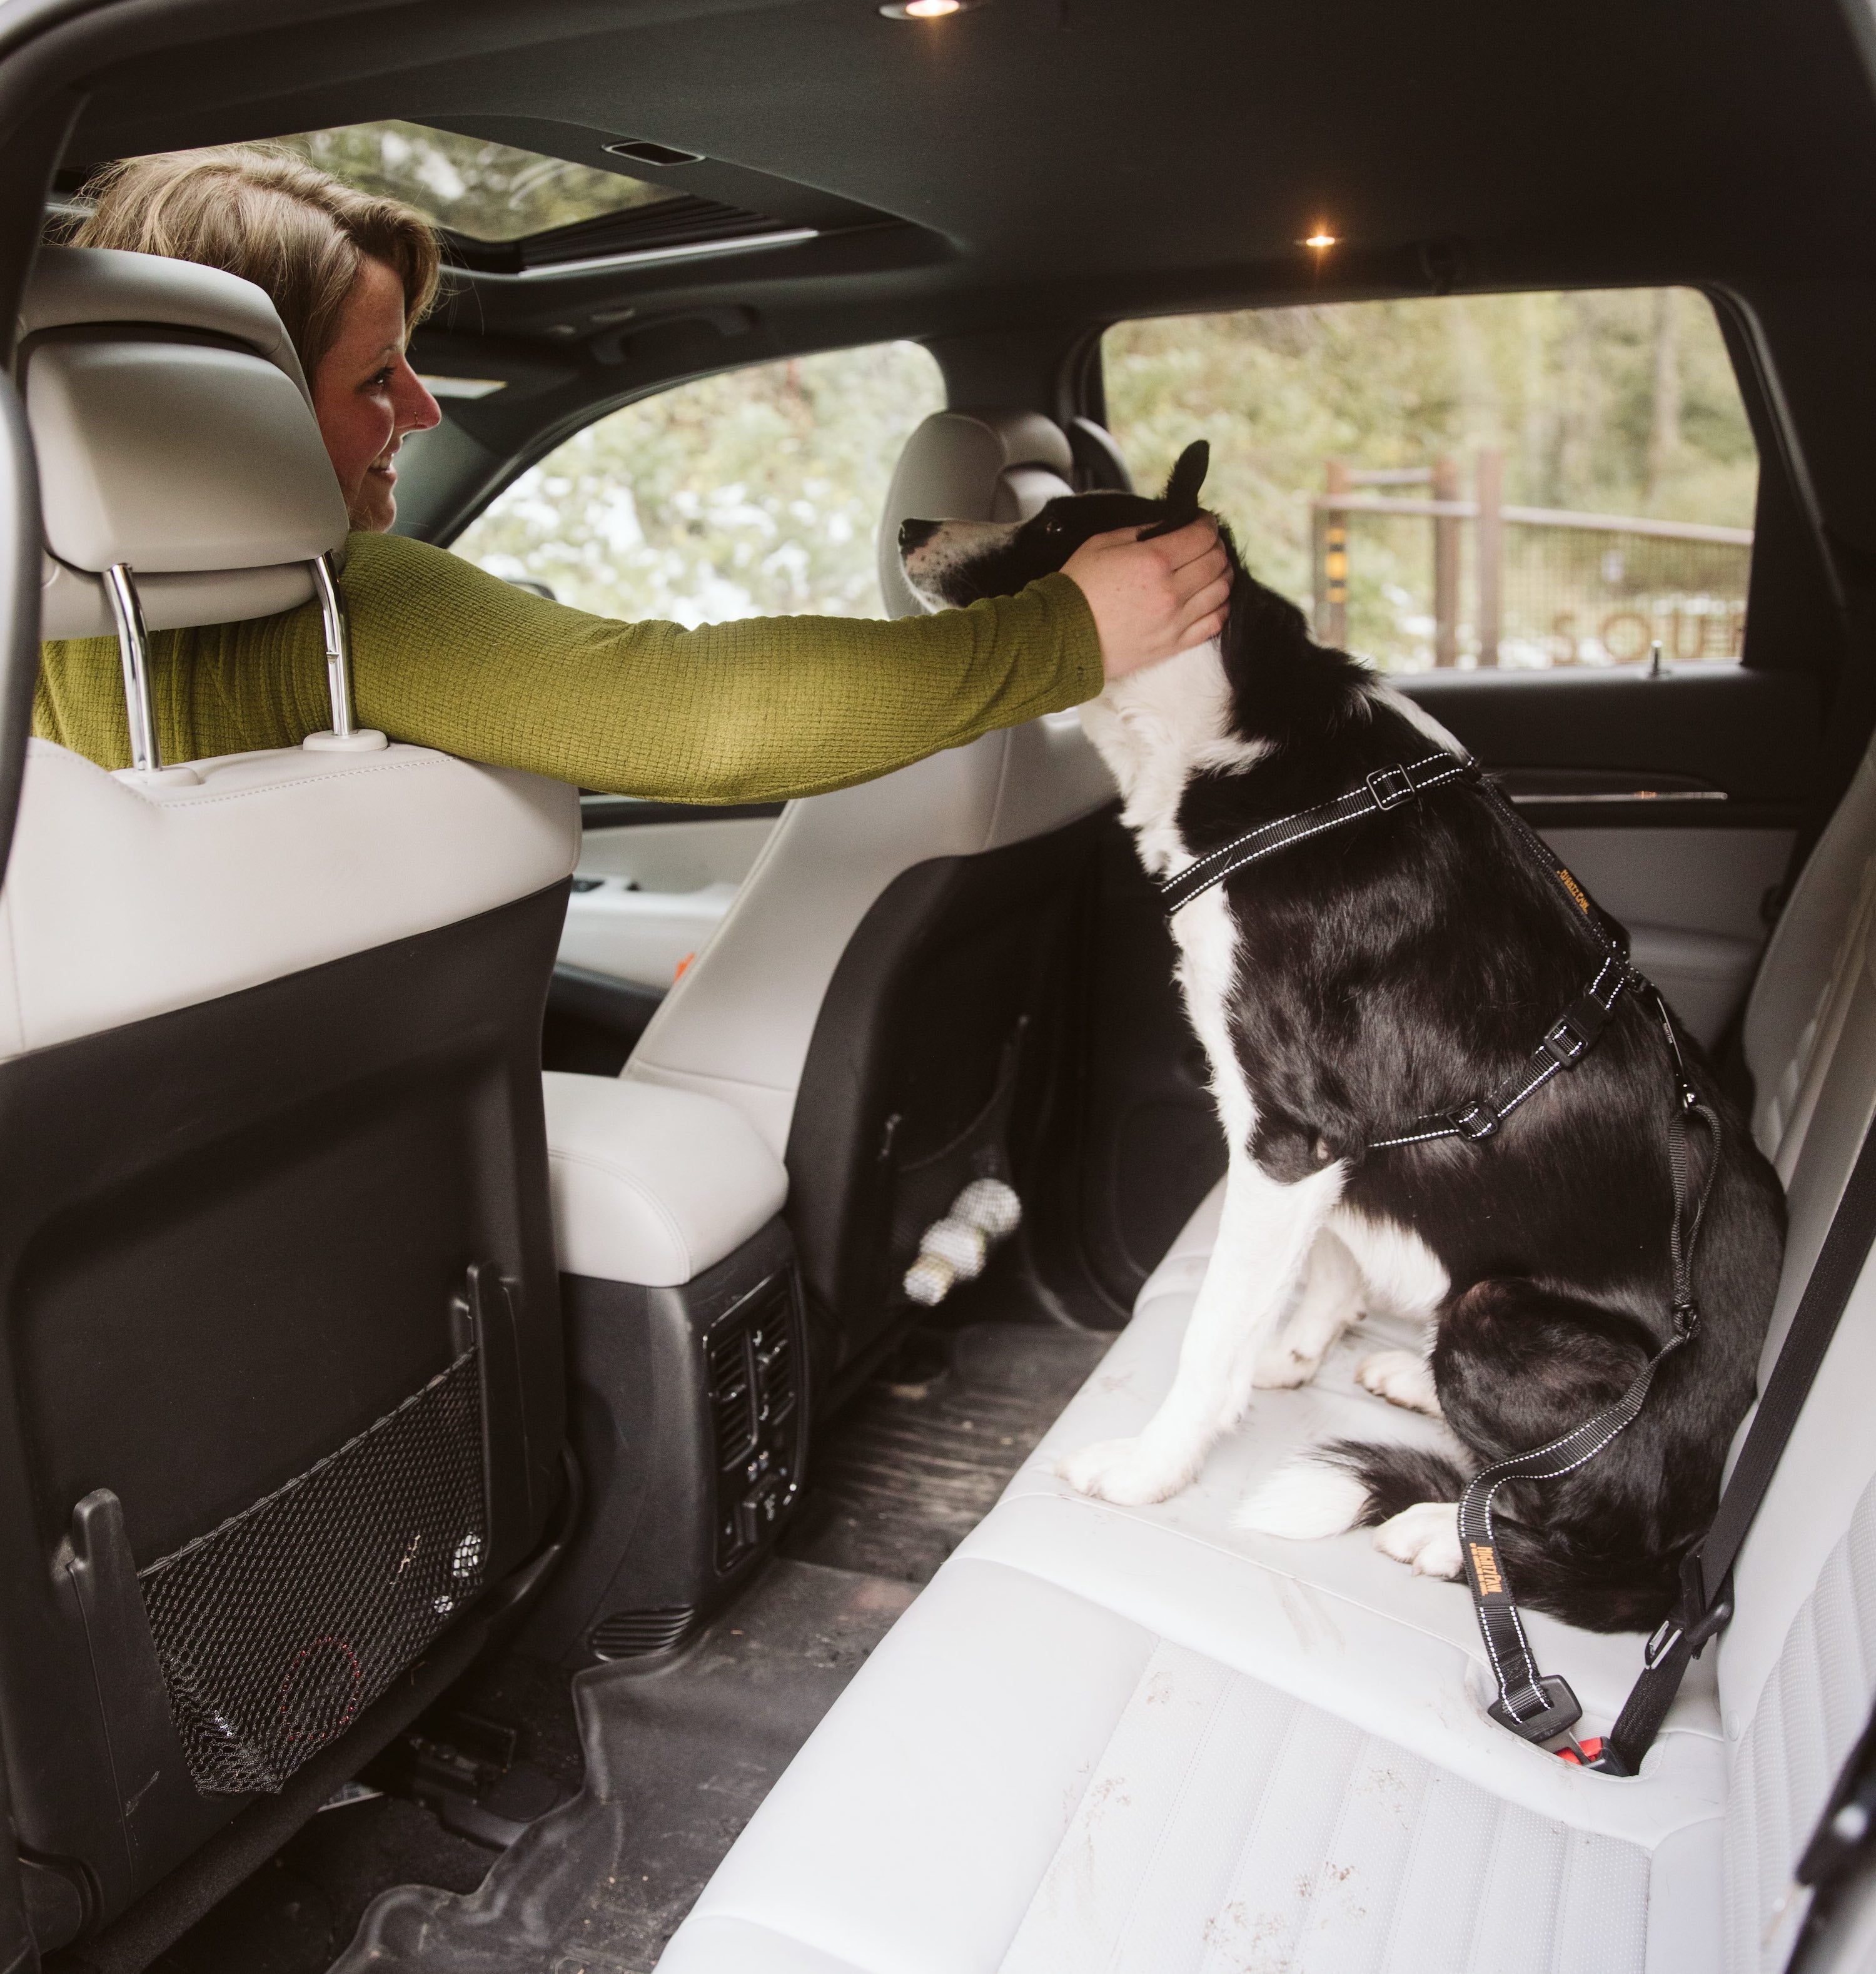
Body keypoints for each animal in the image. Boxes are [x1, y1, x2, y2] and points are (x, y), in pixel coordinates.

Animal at [907, 448, 1791, 1634]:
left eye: (1051, 527)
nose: (907, 527)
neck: (1229, 732)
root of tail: (1700, 1546)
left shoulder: (1290, 1135)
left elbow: (1212, 1332)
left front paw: (1150, 1468)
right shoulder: (1325, 1148)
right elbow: (1323, 1265)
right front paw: (1292, 1351)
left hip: (1501, 1315)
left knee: (1580, 1533)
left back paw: (1442, 1533)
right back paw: (1418, 1391)